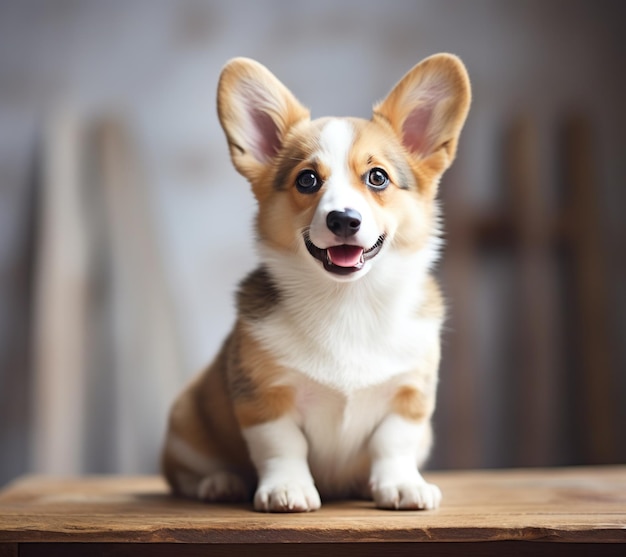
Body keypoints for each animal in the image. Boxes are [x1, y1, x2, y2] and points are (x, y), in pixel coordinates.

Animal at [161, 54, 468, 510]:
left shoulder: (409, 397)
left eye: (377, 177)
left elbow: (393, 444)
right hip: (185, 423)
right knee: (187, 474)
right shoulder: (265, 398)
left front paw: (401, 485)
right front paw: (287, 489)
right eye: (307, 179)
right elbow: (282, 447)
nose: (343, 220)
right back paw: (219, 482)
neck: (348, 301)